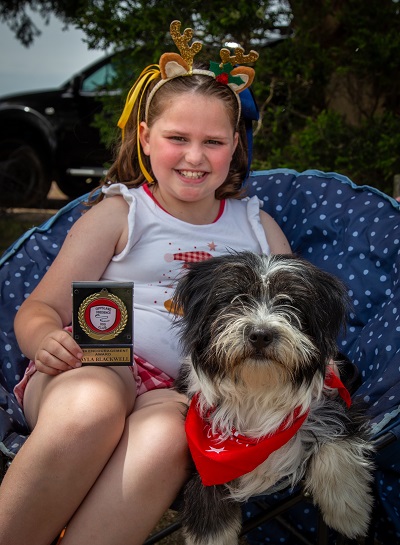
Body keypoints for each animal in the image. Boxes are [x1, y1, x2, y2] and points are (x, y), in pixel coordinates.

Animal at [173, 252, 376, 544]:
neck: (258, 390)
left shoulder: (339, 403)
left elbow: (334, 443)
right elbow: (205, 492)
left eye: (290, 301)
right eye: (235, 298)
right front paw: (211, 536)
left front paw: (349, 513)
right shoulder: (202, 448)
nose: (260, 335)